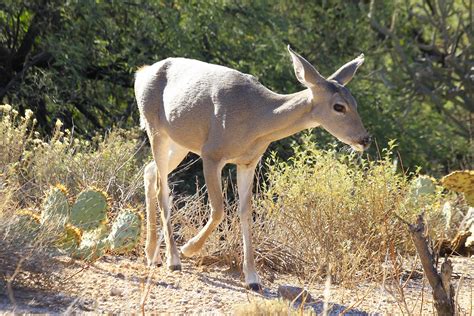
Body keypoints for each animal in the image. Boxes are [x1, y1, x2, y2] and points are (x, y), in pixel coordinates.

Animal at [133, 45, 370, 292]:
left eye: (355, 103)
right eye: (338, 106)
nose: (365, 139)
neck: (256, 121)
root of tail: (141, 73)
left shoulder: (248, 161)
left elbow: (245, 211)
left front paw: (253, 278)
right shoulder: (212, 153)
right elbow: (218, 209)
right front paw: (189, 248)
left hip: (180, 143)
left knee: (149, 171)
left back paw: (152, 254)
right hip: (156, 130)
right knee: (163, 189)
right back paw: (173, 259)